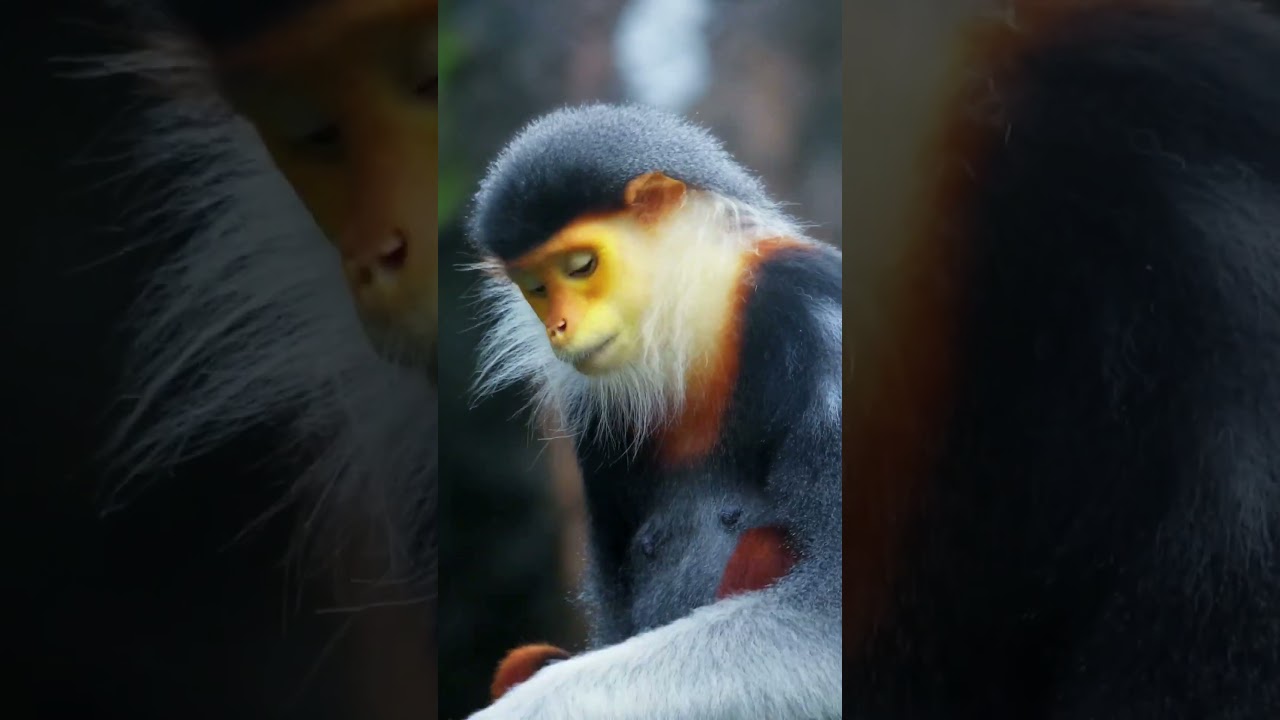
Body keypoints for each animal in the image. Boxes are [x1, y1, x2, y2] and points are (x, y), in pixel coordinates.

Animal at [463, 102, 842, 720]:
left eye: (582, 265)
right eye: (536, 287)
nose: (558, 328)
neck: (709, 330)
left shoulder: (813, 316)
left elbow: (828, 623)